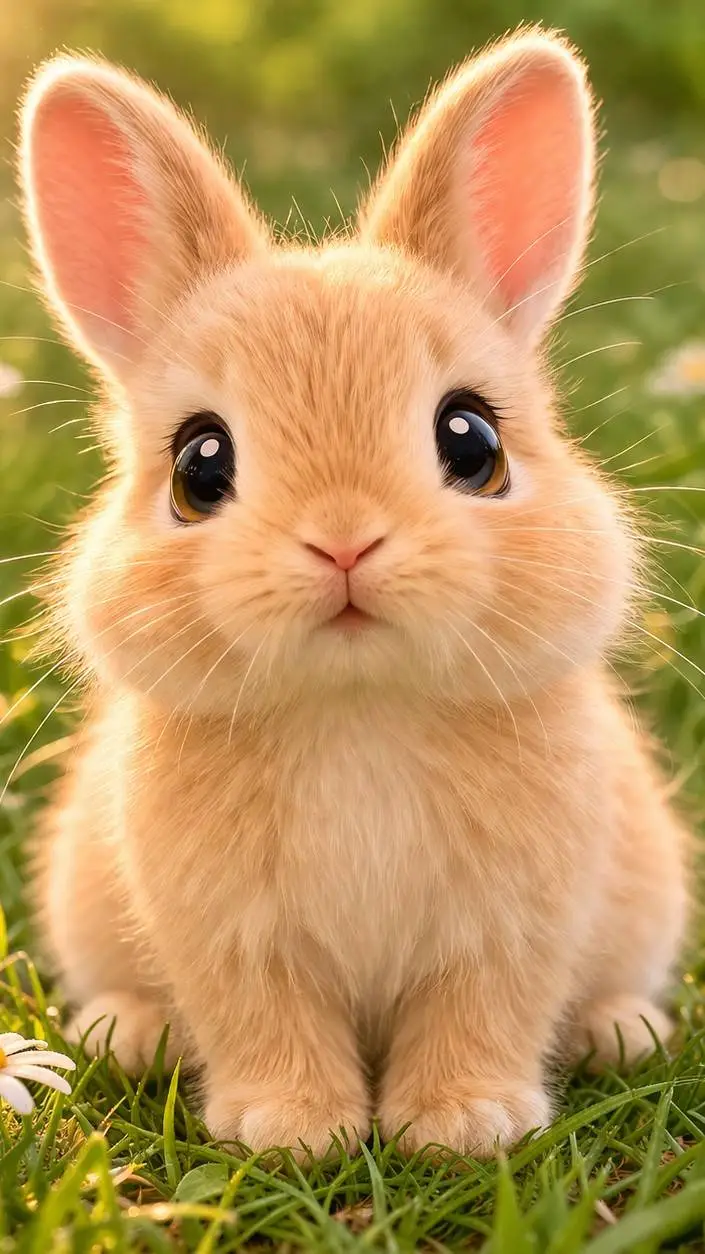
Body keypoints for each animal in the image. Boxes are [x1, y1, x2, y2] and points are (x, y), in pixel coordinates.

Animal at [18, 28, 690, 1159]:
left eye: (473, 442)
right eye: (199, 465)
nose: (343, 541)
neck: (356, 705)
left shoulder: (511, 928)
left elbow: (482, 1009)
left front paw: (462, 1124)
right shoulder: (234, 940)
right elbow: (264, 1018)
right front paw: (290, 1129)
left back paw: (624, 1032)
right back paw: (126, 1033)